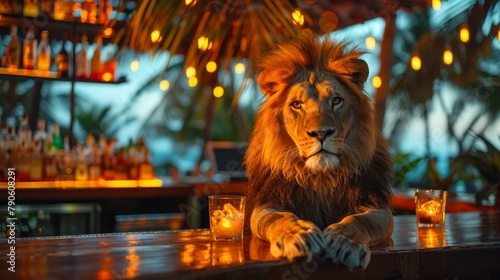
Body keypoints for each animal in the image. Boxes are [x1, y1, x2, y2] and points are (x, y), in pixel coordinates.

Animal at [246, 30, 394, 270]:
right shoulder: (267, 204)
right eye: (297, 105)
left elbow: (361, 220)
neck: (321, 178)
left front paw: (345, 241)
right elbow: (281, 218)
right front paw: (298, 236)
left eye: (336, 101)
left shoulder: (375, 204)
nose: (321, 133)